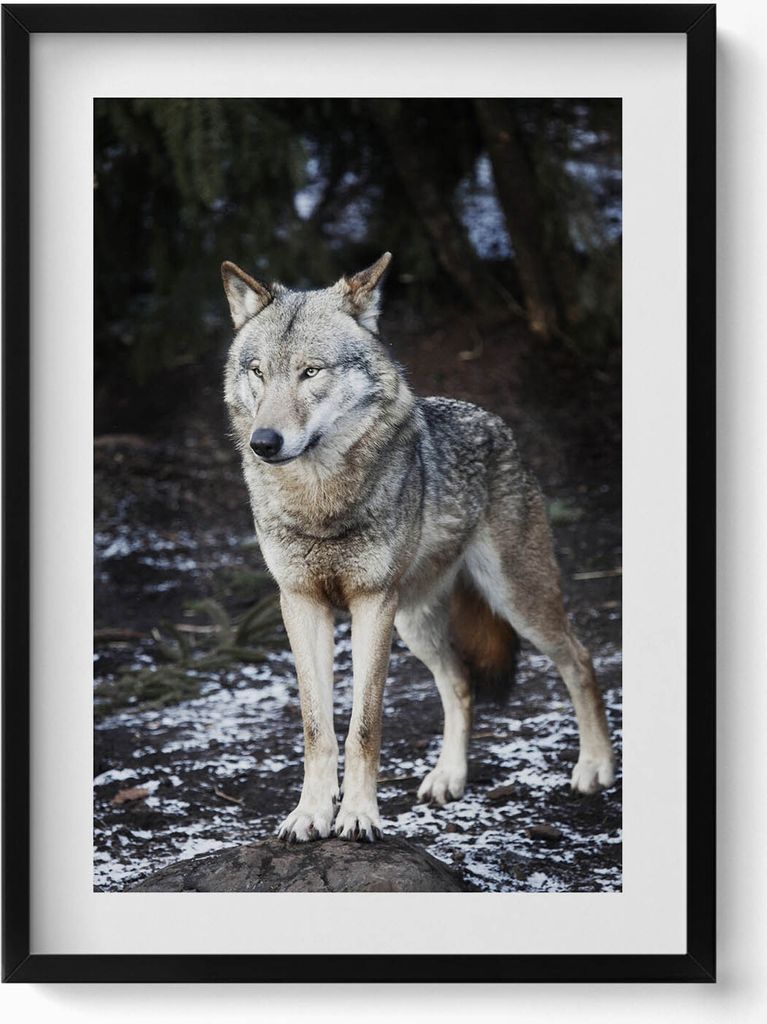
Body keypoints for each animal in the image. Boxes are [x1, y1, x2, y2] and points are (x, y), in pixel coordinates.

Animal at [222, 252, 615, 843]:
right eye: (258, 372)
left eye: (311, 372)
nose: (263, 443)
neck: (319, 501)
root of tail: (499, 425)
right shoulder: (301, 603)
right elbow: (317, 728)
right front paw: (311, 813)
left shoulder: (371, 603)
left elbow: (364, 726)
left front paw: (358, 816)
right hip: (415, 624)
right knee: (460, 684)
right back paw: (449, 776)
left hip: (516, 602)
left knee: (581, 660)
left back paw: (595, 766)